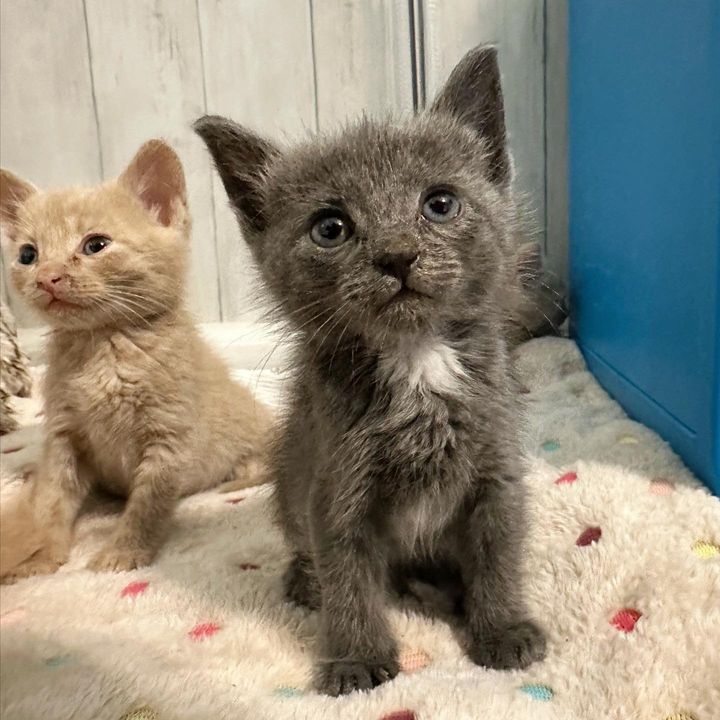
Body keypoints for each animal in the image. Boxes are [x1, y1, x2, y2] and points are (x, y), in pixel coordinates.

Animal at [0, 139, 272, 580]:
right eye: (28, 254)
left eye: (95, 245)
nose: (47, 278)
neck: (102, 346)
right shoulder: (63, 435)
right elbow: (52, 497)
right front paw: (41, 554)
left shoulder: (169, 437)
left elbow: (147, 504)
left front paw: (122, 553)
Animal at [195, 46, 544, 696]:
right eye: (330, 227)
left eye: (439, 204)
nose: (397, 254)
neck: (417, 360)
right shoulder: (336, 487)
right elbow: (350, 578)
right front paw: (356, 659)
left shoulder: (497, 469)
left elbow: (499, 553)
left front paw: (503, 628)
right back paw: (307, 581)